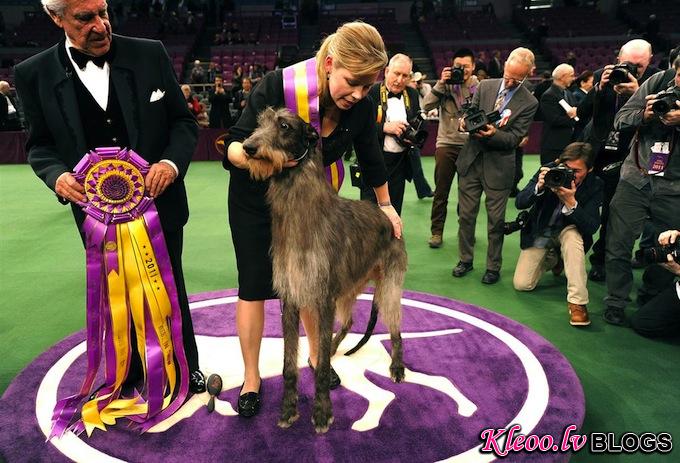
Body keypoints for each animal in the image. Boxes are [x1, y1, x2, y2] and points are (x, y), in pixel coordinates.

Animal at [242, 107, 406, 434]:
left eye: (283, 125)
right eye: (259, 122)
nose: (248, 147)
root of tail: (387, 213)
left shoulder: (324, 298)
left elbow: (317, 372)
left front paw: (321, 414)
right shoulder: (292, 297)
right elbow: (288, 365)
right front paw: (288, 410)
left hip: (388, 286)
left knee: (396, 328)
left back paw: (396, 366)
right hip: (350, 288)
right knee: (349, 321)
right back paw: (331, 349)